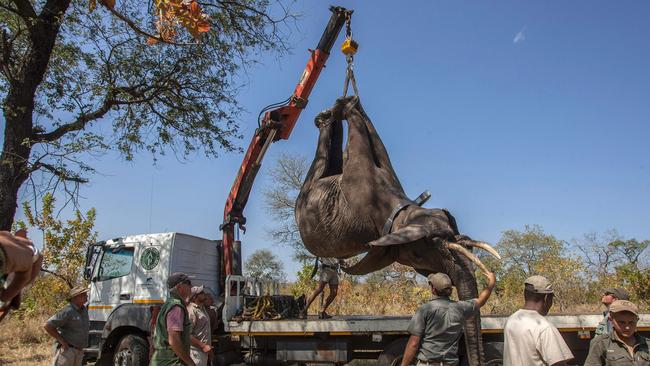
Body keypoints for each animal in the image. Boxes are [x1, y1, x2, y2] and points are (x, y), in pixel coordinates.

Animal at [296, 96, 498, 364]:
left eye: (418, 257)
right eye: (424, 249)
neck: (400, 211)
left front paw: (347, 105)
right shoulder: (362, 187)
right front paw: (348, 104)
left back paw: (326, 116)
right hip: (306, 197)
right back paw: (327, 116)